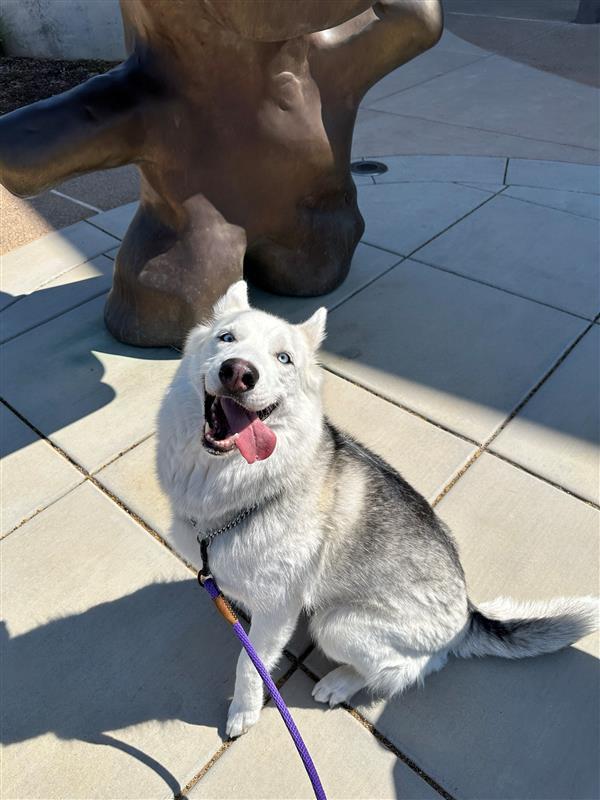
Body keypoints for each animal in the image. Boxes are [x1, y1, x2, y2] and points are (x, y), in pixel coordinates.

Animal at [157, 282, 596, 736]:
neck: (238, 487)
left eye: (284, 358)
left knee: (413, 667)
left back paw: (341, 682)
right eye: (226, 338)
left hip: (336, 625)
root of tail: (468, 613)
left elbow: (249, 664)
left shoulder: (278, 610)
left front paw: (243, 710)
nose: (239, 372)